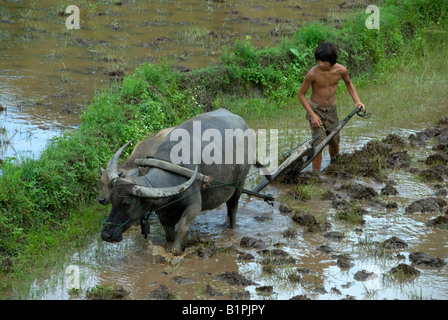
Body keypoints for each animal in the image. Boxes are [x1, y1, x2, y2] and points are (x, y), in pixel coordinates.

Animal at [102, 109, 256, 254]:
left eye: (127, 204)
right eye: (112, 200)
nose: (106, 235)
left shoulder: (194, 206)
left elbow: (180, 228)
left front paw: (176, 249)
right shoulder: (161, 208)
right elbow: (168, 231)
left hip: (240, 183)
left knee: (233, 207)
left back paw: (232, 226)